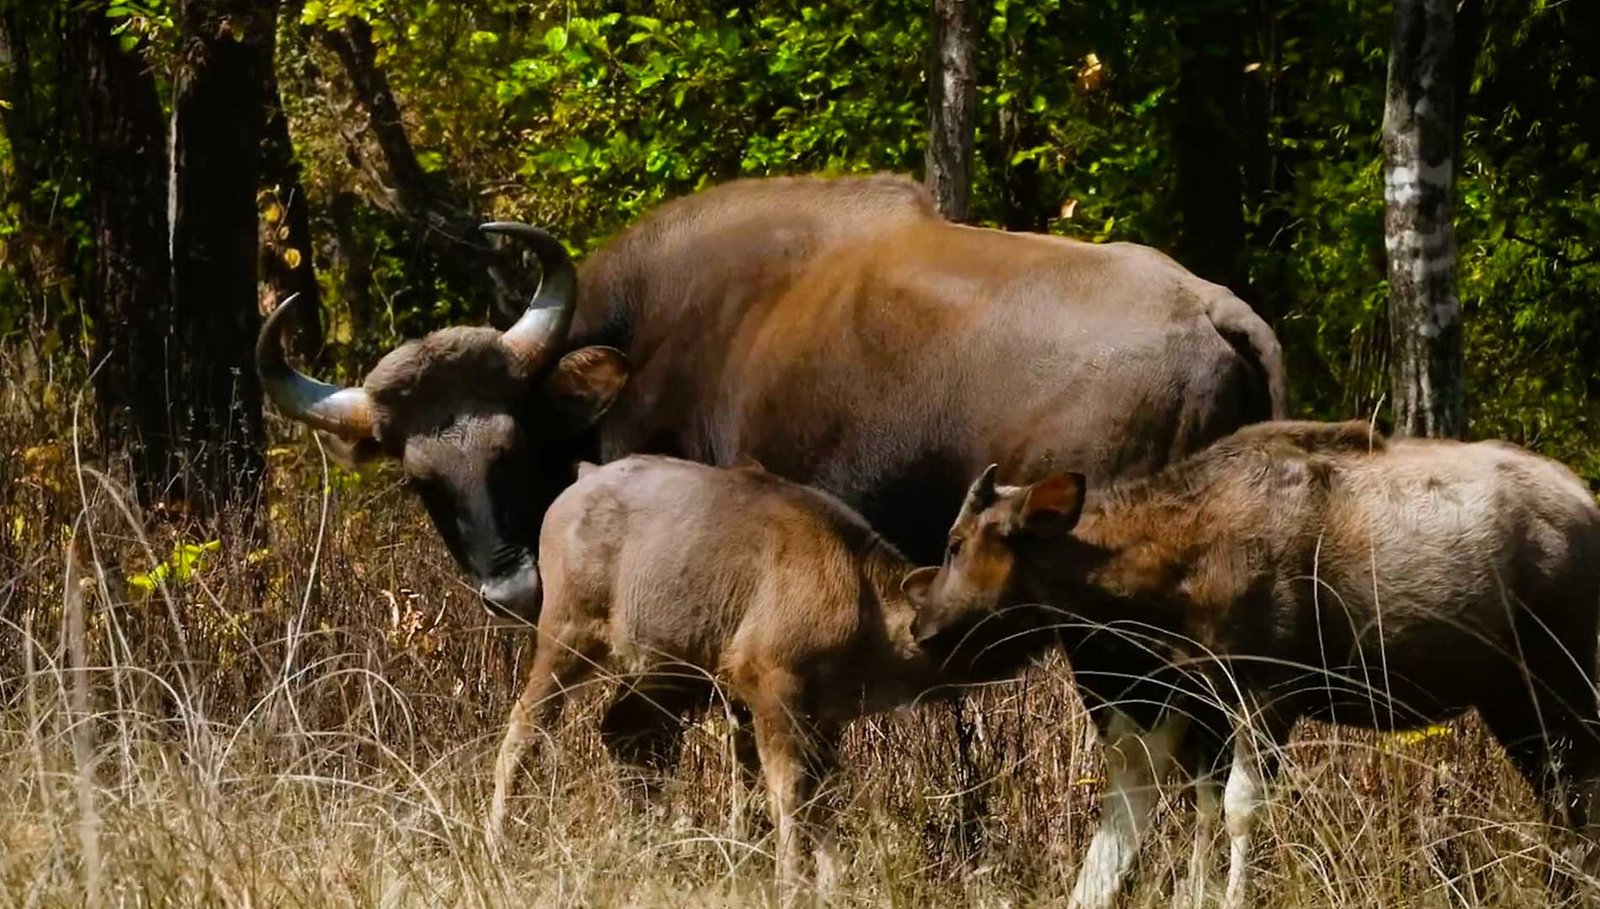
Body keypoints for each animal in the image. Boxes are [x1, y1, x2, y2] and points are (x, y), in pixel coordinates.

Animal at [908, 422, 1600, 909]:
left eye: (956, 544)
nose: (921, 625)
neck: (1170, 578)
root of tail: (1588, 506)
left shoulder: (1269, 690)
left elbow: (1242, 811)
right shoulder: (1209, 700)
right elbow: (1205, 811)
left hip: (1564, 680)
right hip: (1512, 700)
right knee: (1561, 799)